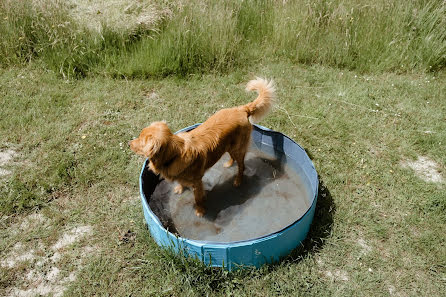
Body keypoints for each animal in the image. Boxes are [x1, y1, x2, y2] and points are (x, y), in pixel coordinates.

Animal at [129, 77, 276, 215]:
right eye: (139, 136)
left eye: (140, 140)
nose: (129, 143)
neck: (175, 154)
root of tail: (241, 109)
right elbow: (181, 182)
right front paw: (180, 189)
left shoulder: (197, 182)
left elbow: (198, 199)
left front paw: (200, 211)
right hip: (229, 146)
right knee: (233, 158)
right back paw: (228, 164)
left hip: (238, 148)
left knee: (242, 166)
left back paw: (238, 181)